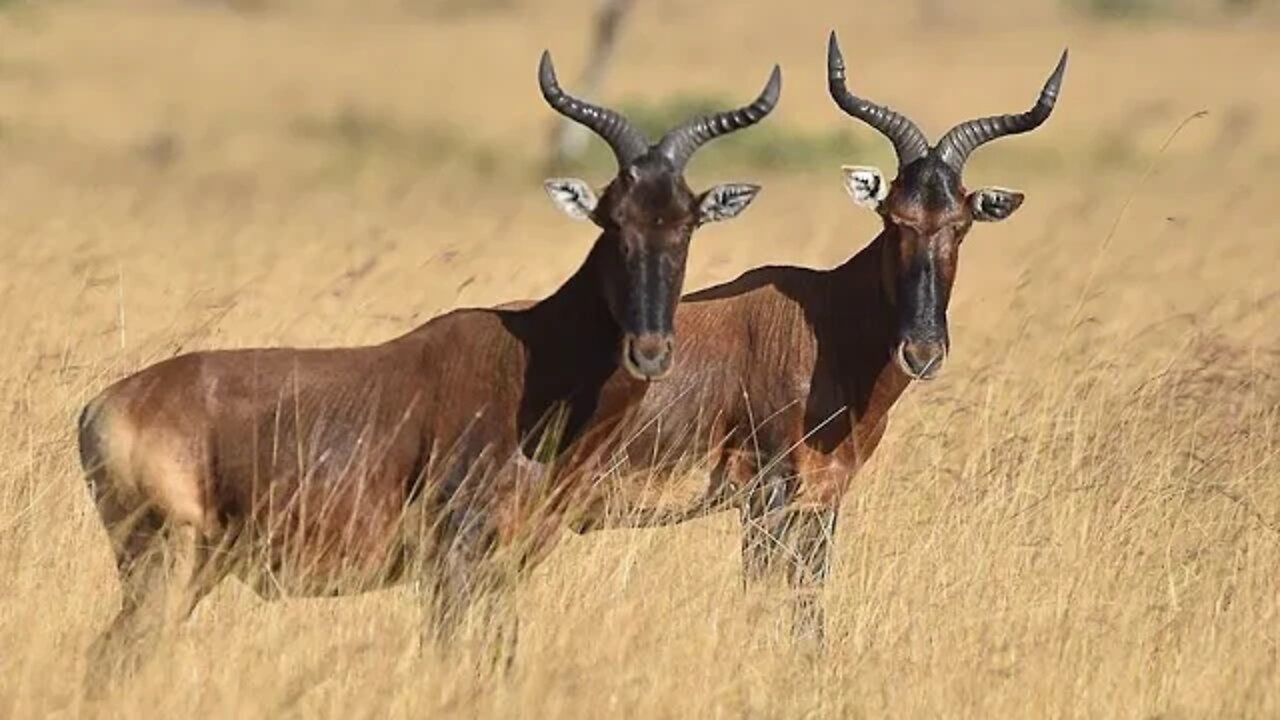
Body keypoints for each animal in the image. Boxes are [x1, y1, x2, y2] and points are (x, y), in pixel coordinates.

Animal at [77, 50, 778, 691]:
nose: (650, 350)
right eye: (613, 219)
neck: (531, 360)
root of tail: (101, 408)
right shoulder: (453, 561)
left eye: (686, 222)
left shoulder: (505, 566)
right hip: (164, 563)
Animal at [576, 32, 1064, 638]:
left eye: (960, 223)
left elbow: (809, 598)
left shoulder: (825, 493)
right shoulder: (766, 492)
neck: (824, 323)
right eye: (893, 216)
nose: (922, 351)